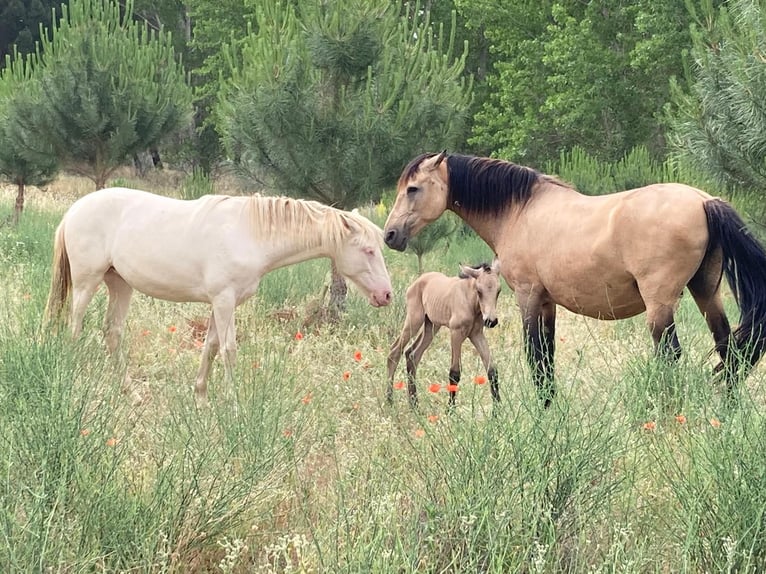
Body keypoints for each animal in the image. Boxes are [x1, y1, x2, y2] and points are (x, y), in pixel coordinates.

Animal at [45, 187, 393, 401]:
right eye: (368, 250)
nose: (387, 295)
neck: (251, 234)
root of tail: (74, 210)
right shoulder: (225, 300)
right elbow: (229, 350)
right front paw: (234, 406)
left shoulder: (220, 302)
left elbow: (210, 347)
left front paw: (201, 398)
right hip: (87, 282)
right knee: (75, 327)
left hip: (120, 284)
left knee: (112, 332)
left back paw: (131, 392)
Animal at [386, 261, 502, 408]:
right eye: (479, 291)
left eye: (498, 291)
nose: (491, 321)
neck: (469, 301)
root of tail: (418, 280)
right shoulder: (456, 333)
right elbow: (455, 373)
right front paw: (450, 409)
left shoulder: (477, 335)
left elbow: (492, 370)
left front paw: (498, 410)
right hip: (414, 320)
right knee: (395, 351)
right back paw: (389, 400)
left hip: (431, 326)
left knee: (412, 354)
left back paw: (414, 404)